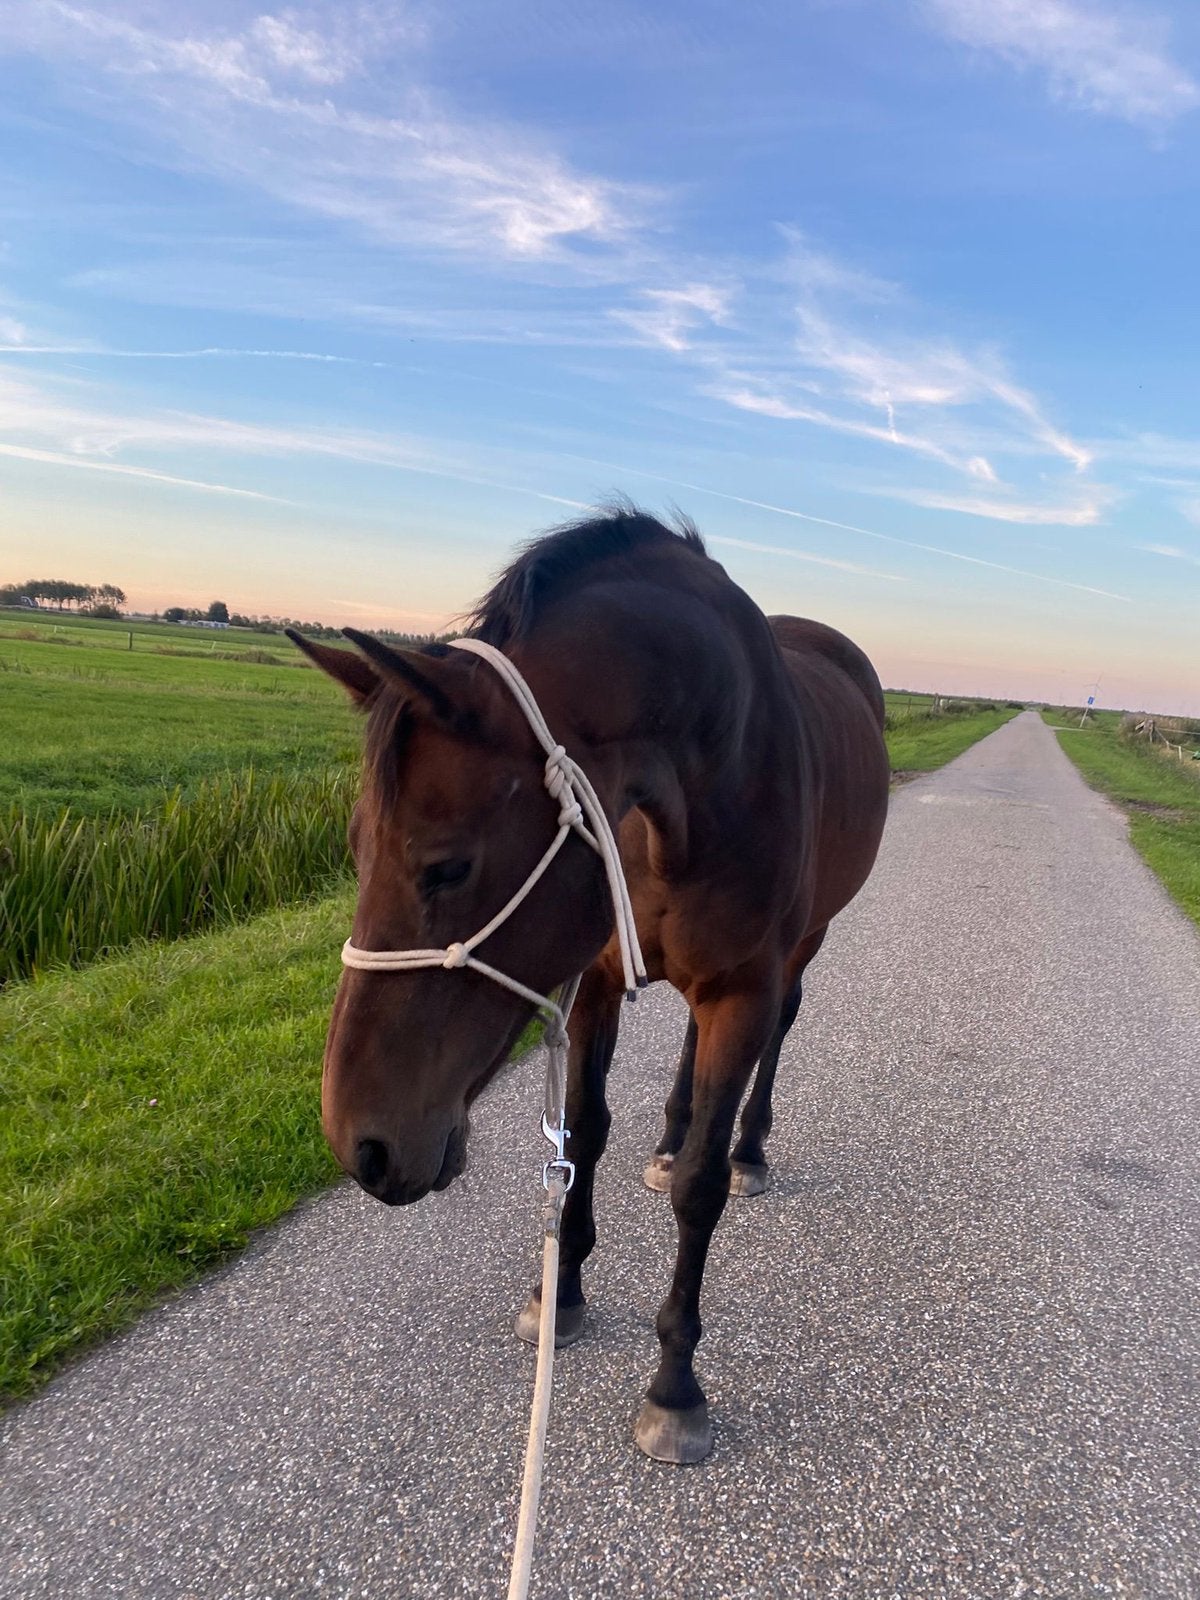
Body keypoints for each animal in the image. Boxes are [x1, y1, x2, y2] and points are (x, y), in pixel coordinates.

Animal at [288, 507, 889, 1464]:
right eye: (350, 846)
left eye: (447, 866)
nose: (360, 1147)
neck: (703, 783)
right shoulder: (599, 975)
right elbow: (585, 1136)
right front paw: (560, 1290)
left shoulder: (743, 992)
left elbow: (699, 1190)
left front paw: (675, 1385)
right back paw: (671, 1134)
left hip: (800, 954)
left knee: (777, 1042)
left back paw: (750, 1148)